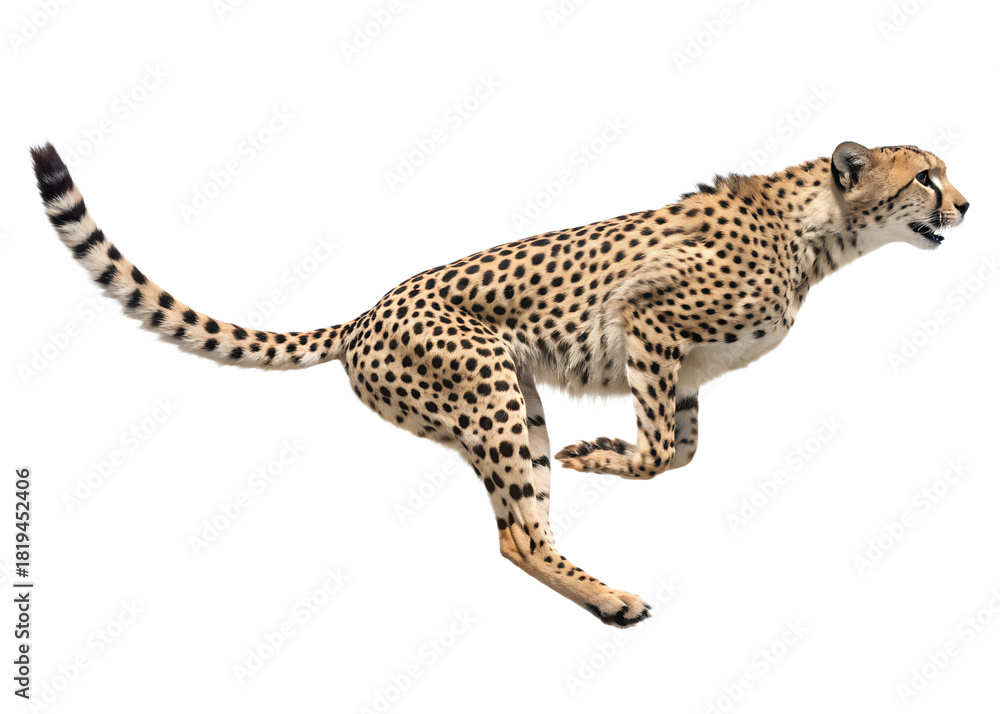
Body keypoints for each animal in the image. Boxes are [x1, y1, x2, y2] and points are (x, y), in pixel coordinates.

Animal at [30, 140, 968, 627]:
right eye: (925, 174)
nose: (964, 205)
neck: (822, 232)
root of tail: (365, 313)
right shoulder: (647, 320)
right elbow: (662, 450)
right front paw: (606, 453)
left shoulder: (682, 362)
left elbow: (683, 449)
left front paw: (604, 451)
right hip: (487, 385)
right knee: (517, 531)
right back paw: (611, 597)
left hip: (517, 400)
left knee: (522, 528)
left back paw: (594, 589)